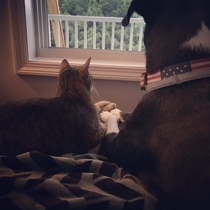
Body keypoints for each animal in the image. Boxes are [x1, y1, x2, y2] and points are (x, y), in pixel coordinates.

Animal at [99, 0, 210, 209]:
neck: (182, 71)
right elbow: (125, 113)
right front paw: (115, 110)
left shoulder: (115, 147)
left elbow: (111, 124)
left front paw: (106, 113)